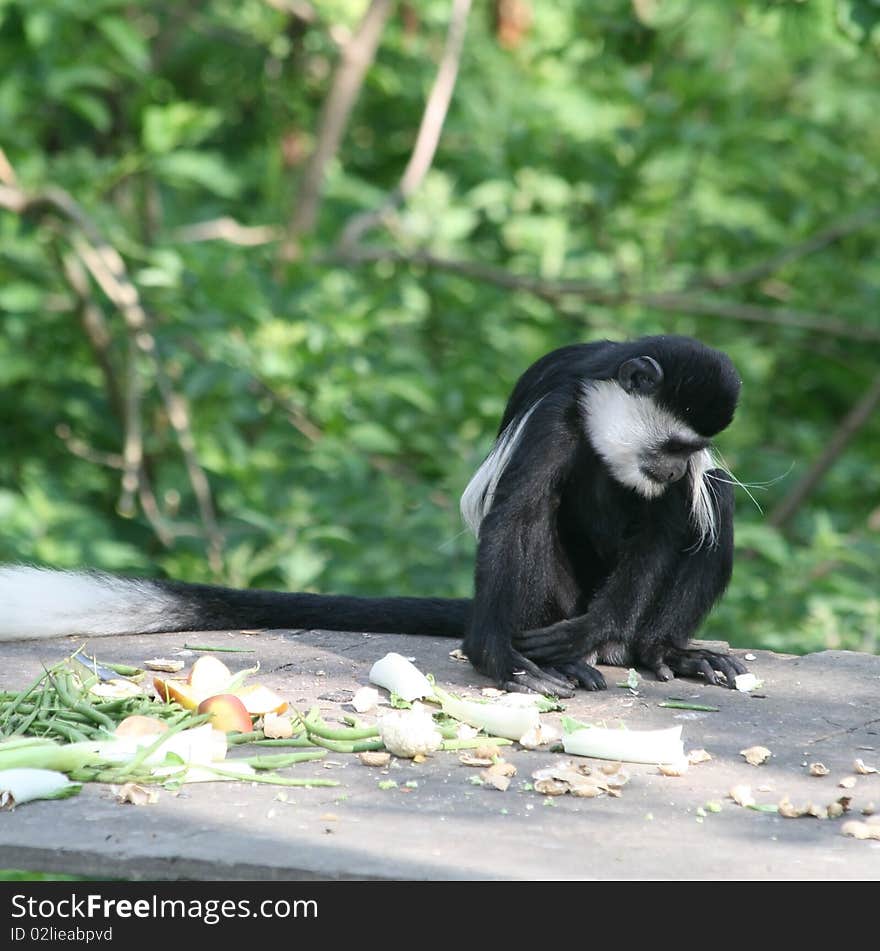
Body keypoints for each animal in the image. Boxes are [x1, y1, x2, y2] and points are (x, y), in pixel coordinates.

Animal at [0, 334, 744, 700]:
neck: (603, 412)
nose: (678, 469)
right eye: (674, 446)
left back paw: (653, 649)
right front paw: (500, 659)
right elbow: (516, 513)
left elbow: (669, 527)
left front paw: (605, 630)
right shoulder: (558, 411)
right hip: (551, 598)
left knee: (717, 507)